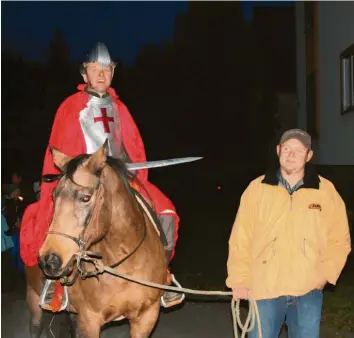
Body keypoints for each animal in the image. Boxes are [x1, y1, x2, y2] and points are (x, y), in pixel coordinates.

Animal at [24, 141, 169, 338]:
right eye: (53, 197)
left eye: (85, 197)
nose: (49, 260)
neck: (126, 268)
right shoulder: (90, 320)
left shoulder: (146, 317)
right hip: (33, 294)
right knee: (36, 325)